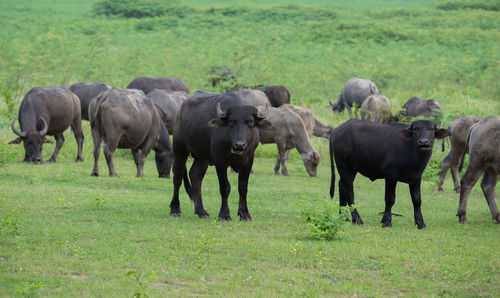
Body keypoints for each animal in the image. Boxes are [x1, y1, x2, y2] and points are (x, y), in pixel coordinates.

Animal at [169, 92, 272, 220]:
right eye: (231, 122)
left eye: (251, 122)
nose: (239, 145)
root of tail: (180, 111)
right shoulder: (220, 162)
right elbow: (225, 187)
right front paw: (224, 214)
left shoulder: (249, 161)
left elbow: (243, 187)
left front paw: (245, 214)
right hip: (180, 149)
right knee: (177, 176)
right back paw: (175, 209)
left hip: (202, 157)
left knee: (195, 176)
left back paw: (201, 211)